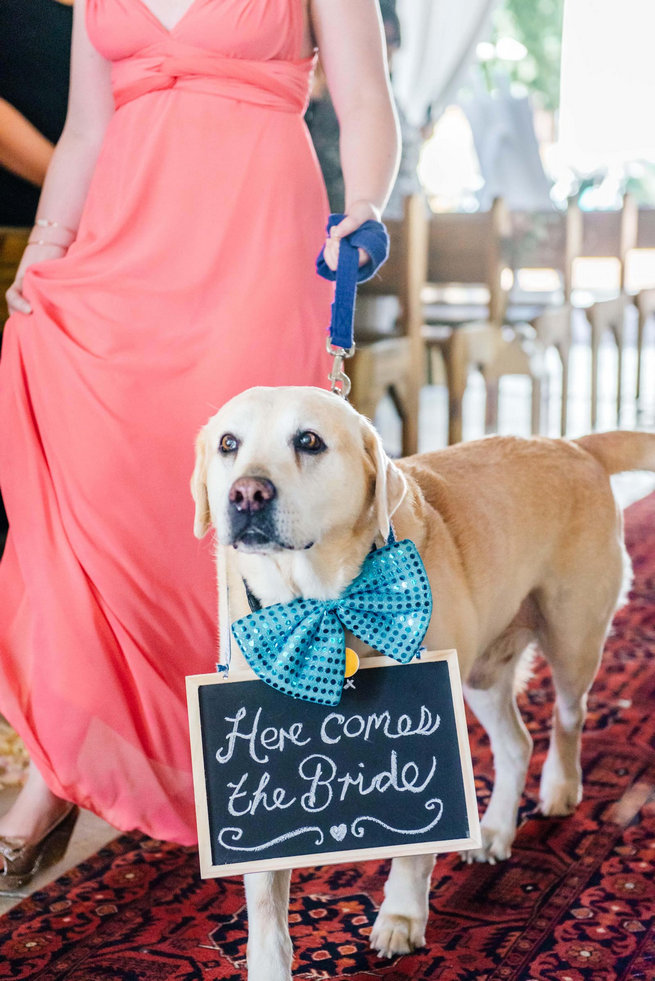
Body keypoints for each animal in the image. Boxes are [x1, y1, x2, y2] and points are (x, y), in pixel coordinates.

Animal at [191, 384, 655, 980]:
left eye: (309, 441)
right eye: (229, 444)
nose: (247, 494)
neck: (321, 603)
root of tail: (573, 445)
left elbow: (414, 851)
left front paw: (402, 916)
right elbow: (265, 902)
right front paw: (269, 966)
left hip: (573, 639)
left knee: (568, 717)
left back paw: (560, 786)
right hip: (480, 673)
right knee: (516, 745)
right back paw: (497, 828)